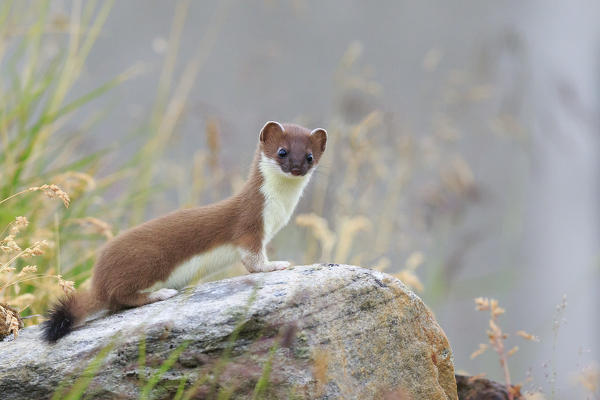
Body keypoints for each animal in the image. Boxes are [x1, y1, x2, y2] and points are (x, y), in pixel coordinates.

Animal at [41, 120, 328, 342]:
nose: (296, 168)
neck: (278, 210)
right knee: (121, 296)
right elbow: (253, 261)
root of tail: (98, 277)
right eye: (282, 151)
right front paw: (277, 264)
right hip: (149, 259)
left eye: (310, 156)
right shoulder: (249, 225)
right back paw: (160, 293)